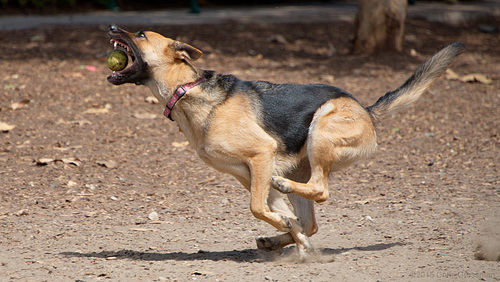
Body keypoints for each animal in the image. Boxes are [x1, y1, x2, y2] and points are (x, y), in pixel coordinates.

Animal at [105, 25, 464, 258]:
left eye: (141, 35)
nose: (110, 26)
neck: (187, 89)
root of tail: (366, 109)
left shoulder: (261, 155)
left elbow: (257, 208)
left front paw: (285, 230)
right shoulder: (247, 174)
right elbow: (278, 216)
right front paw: (295, 241)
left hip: (321, 128)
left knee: (319, 189)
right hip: (299, 163)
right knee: (309, 219)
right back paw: (279, 240)